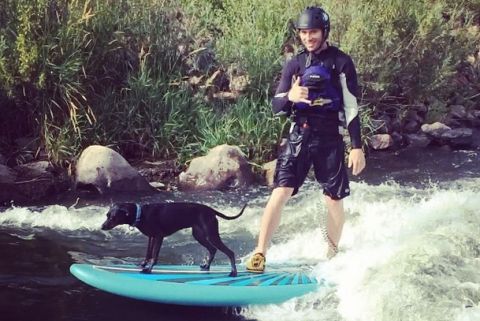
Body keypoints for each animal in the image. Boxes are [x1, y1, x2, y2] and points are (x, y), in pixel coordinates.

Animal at [100, 202, 246, 276]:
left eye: (113, 217)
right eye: (107, 215)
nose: (102, 226)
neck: (141, 213)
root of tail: (211, 210)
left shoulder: (159, 237)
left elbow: (154, 256)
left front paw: (149, 269)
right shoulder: (151, 237)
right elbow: (148, 253)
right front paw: (143, 264)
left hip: (211, 235)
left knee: (230, 252)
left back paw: (233, 272)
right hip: (199, 236)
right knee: (212, 250)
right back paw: (206, 266)